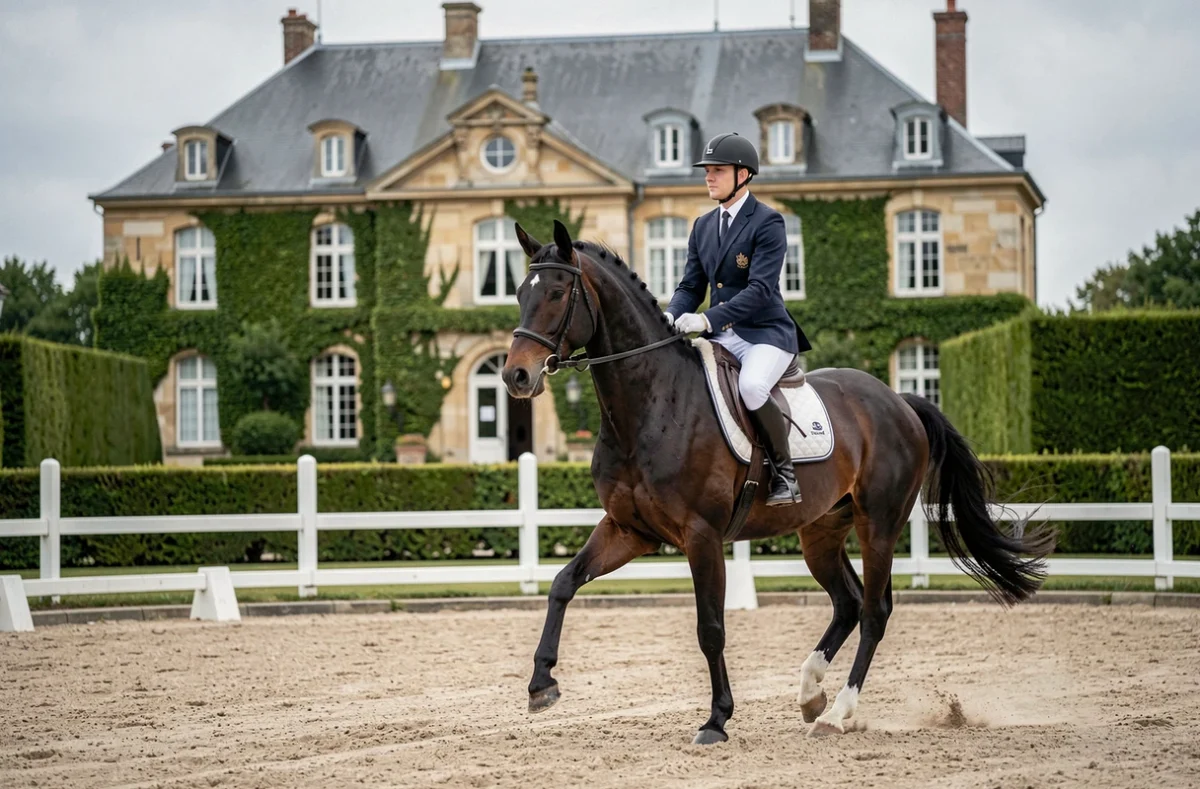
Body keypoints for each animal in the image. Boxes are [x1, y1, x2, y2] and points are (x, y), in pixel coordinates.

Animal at [500, 219, 1055, 744]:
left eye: (557, 293)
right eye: (521, 293)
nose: (515, 377)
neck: (650, 403)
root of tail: (899, 400)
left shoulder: (701, 536)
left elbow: (711, 628)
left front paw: (717, 719)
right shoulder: (628, 529)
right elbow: (562, 583)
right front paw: (541, 684)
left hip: (879, 523)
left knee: (875, 610)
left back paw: (836, 714)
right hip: (821, 531)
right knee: (848, 602)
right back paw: (810, 693)